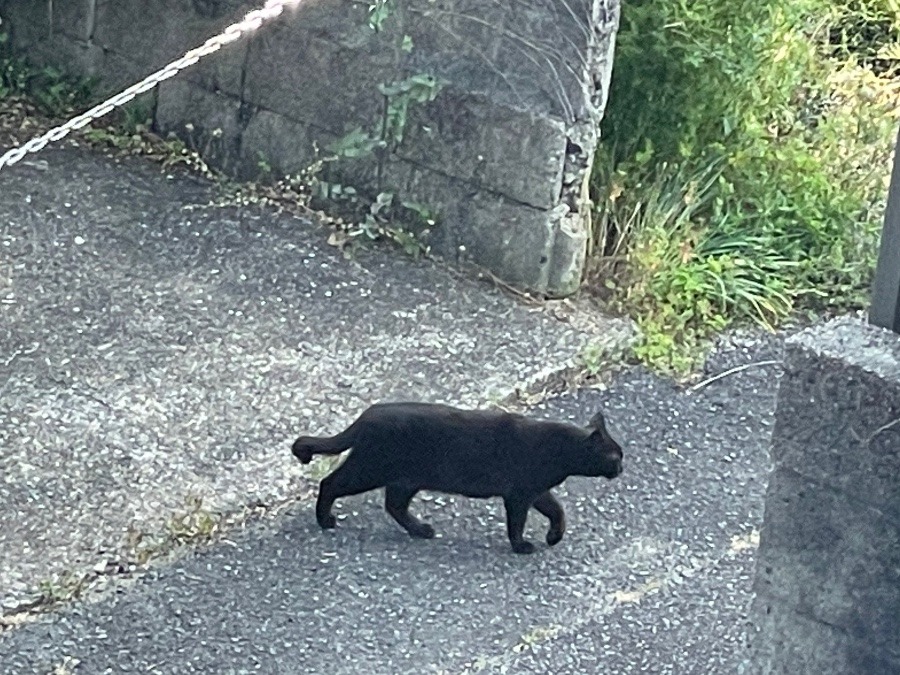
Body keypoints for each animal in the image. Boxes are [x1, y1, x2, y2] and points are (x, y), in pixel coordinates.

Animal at [292, 402, 624, 556]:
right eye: (615, 456)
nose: (622, 468)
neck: (559, 449)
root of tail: (365, 415)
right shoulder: (519, 494)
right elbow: (517, 523)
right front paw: (520, 546)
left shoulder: (536, 491)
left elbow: (557, 510)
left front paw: (554, 537)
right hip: (369, 469)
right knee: (330, 483)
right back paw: (325, 520)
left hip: (406, 479)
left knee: (394, 505)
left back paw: (421, 530)